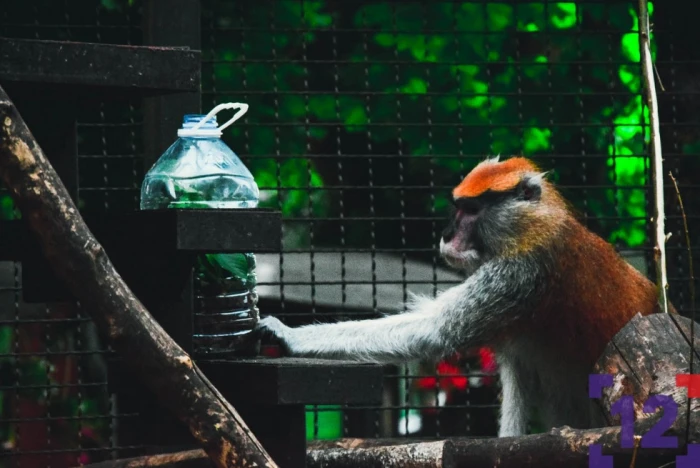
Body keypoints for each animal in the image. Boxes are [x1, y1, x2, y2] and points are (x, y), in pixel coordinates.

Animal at [254, 155, 668, 436]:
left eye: (470, 210)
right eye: (457, 207)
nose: (446, 234)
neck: (532, 227)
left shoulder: (518, 275)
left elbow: (434, 330)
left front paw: (286, 335)